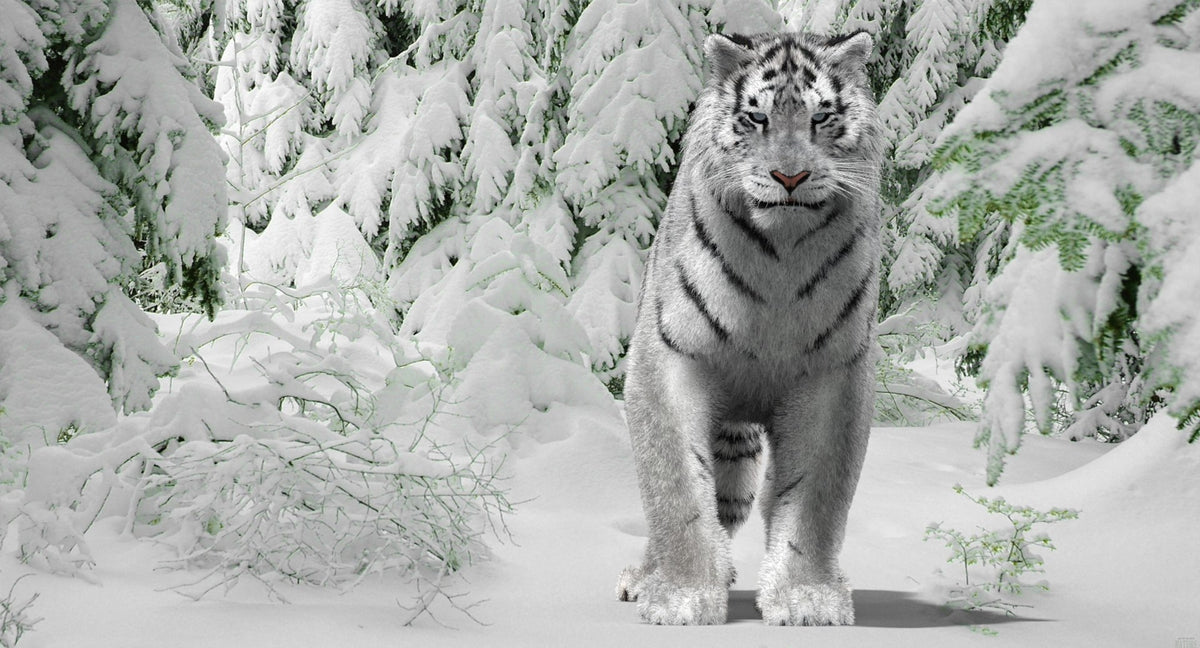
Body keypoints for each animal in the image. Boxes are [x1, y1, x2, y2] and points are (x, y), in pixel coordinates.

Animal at [615, 31, 883, 626]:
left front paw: (808, 600)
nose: (790, 176)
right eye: (756, 118)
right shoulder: (667, 360)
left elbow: (815, 501)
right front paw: (681, 599)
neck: (779, 259)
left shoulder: (832, 373)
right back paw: (641, 580)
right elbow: (676, 491)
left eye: (821, 117)